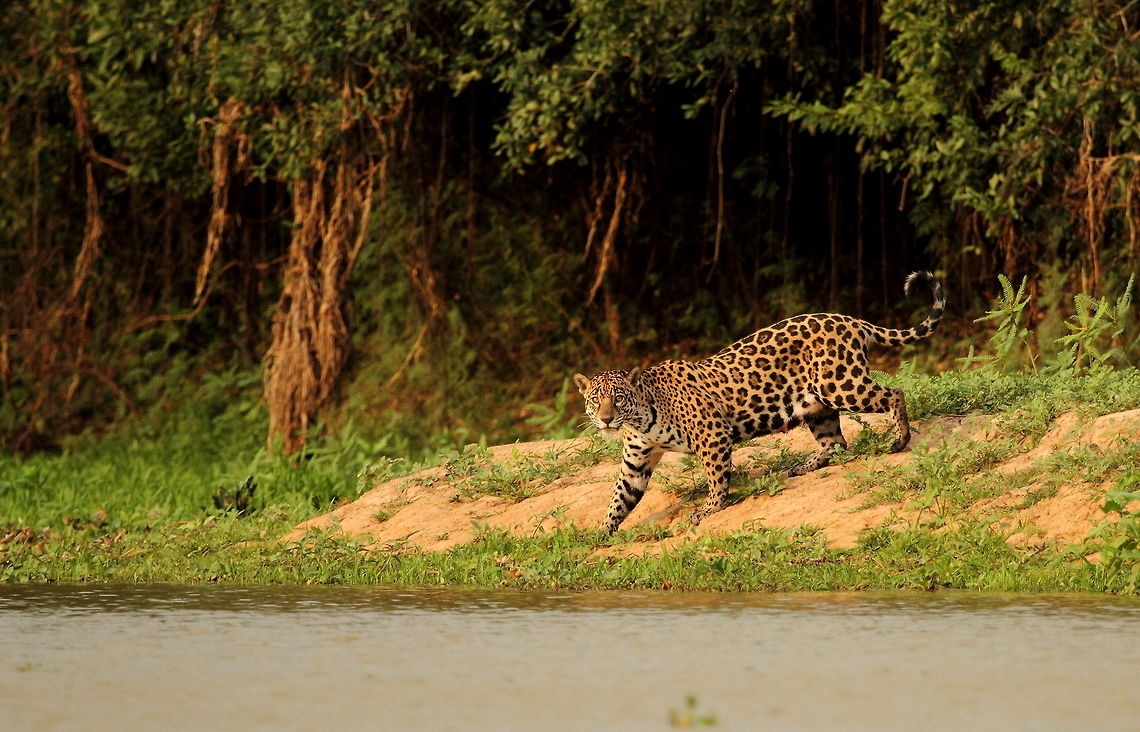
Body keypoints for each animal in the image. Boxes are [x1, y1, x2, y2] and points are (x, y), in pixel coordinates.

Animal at [574, 270, 944, 533]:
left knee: (894, 394)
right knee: (836, 442)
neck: (642, 420)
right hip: (818, 403)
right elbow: (620, 498)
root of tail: (850, 319)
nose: (606, 419)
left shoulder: (713, 436)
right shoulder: (635, 463)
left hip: (841, 384)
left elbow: (716, 476)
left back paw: (900, 440)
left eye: (618, 399)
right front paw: (599, 532)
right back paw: (804, 466)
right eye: (595, 400)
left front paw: (710, 508)